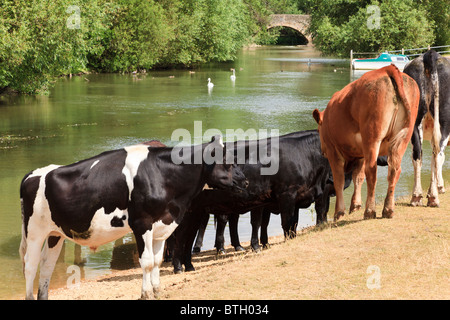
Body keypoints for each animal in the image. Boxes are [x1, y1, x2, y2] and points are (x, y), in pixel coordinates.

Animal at [19, 137, 248, 300]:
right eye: (227, 162)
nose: (245, 181)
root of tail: (33, 174)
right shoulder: (142, 223)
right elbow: (146, 262)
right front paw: (146, 294)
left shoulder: (161, 225)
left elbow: (156, 261)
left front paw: (157, 291)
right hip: (34, 232)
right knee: (30, 264)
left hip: (54, 233)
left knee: (47, 266)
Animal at [312, 64, 420, 221]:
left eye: (319, 131)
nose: (321, 149)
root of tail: (387, 68)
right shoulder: (360, 152)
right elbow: (358, 177)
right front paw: (355, 205)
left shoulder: (333, 151)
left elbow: (339, 180)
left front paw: (339, 212)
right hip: (403, 137)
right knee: (394, 169)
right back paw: (388, 209)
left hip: (372, 136)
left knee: (372, 170)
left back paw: (370, 211)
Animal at [404, 49, 450, 206]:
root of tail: (430, 54)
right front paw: (440, 186)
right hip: (444, 121)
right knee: (438, 154)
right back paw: (433, 197)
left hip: (415, 121)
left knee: (418, 155)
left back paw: (416, 196)